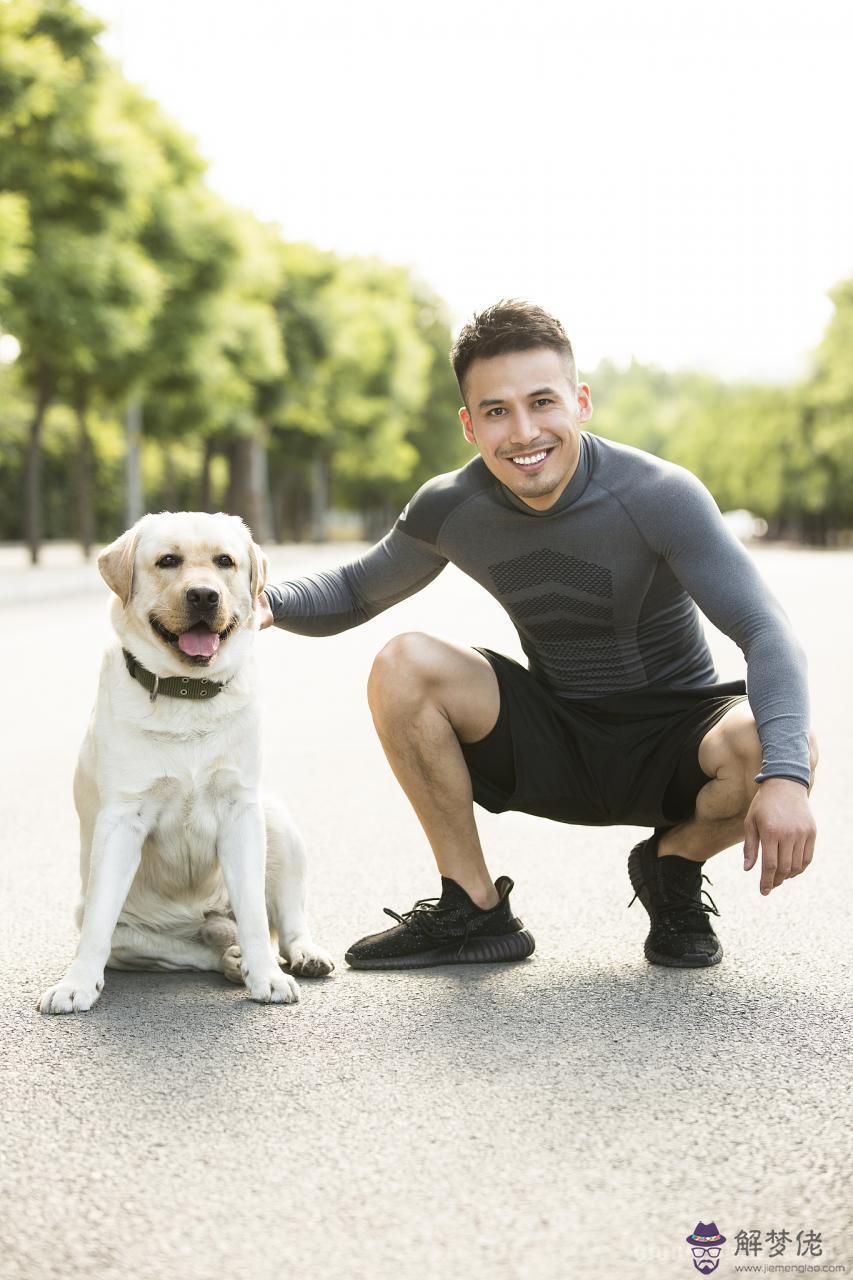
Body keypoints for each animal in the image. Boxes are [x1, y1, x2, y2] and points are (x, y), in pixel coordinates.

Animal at [36, 504, 330, 1013]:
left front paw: (266, 977)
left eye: (225, 562)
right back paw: (228, 958)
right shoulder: (122, 821)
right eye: (168, 561)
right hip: (129, 933)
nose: (203, 595)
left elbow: (256, 916)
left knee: (287, 920)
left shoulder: (240, 810)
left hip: (274, 818)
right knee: (184, 949)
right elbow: (96, 928)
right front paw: (76, 984)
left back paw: (299, 954)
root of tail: (208, 917)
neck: (187, 693)